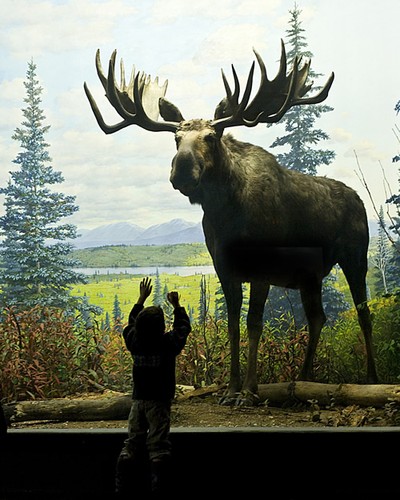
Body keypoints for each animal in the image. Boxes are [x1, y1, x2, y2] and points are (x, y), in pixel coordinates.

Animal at [83, 40, 378, 406]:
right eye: (176, 139)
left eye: (211, 136)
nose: (181, 170)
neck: (227, 215)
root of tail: (359, 200)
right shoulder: (223, 266)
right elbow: (233, 324)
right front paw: (231, 388)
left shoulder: (263, 265)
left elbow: (254, 323)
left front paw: (249, 391)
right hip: (309, 275)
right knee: (317, 317)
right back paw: (304, 378)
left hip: (355, 256)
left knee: (364, 312)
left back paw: (371, 378)